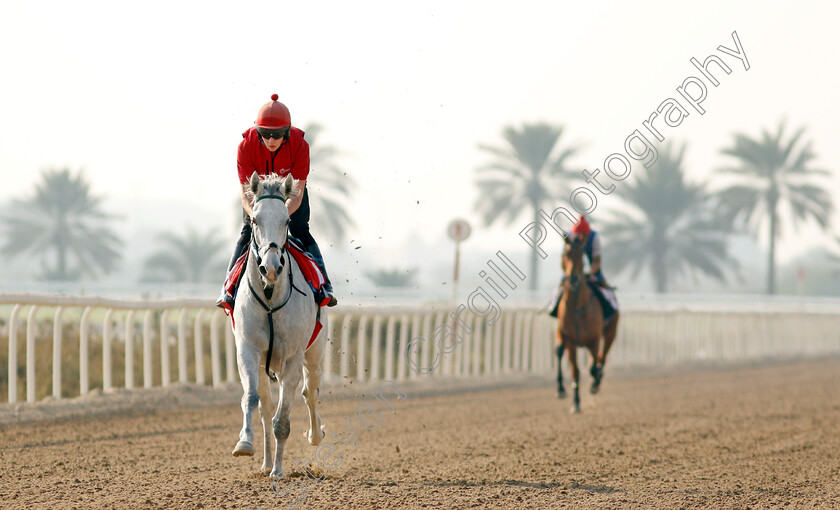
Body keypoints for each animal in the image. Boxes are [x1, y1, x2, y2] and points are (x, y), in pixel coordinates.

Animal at [556, 235, 620, 414]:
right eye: (566, 253)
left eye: (582, 255)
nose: (573, 279)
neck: (578, 307)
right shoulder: (570, 341)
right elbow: (575, 371)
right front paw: (576, 403)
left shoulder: (594, 339)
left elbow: (593, 367)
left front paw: (595, 380)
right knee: (560, 351)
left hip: (611, 332)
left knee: (602, 357)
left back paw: (596, 381)